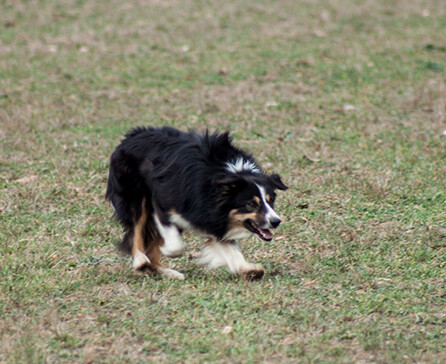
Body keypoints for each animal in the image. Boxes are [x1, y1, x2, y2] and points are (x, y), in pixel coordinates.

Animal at [107, 126, 290, 280]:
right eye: (251, 204)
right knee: (137, 229)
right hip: (134, 191)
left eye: (271, 201)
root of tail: (131, 135)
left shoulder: (214, 217)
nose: (276, 221)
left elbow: (229, 247)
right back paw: (141, 261)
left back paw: (168, 272)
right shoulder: (165, 202)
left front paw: (249, 269)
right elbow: (175, 246)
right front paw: (167, 250)